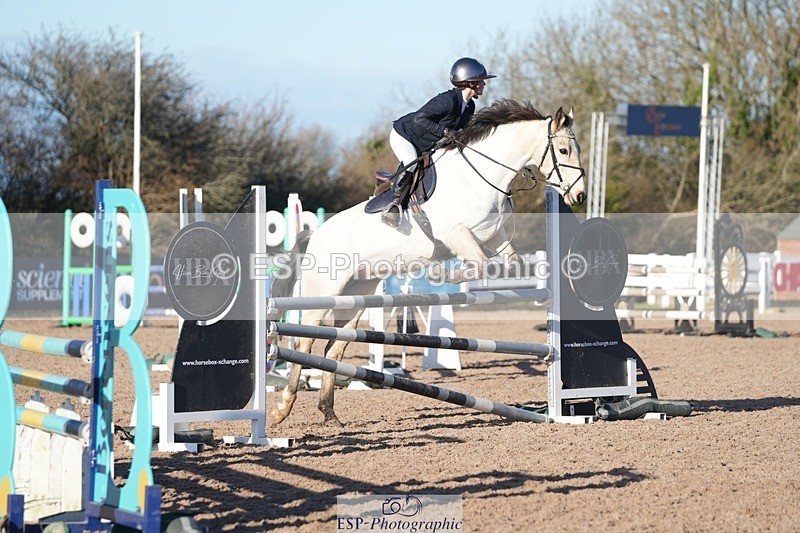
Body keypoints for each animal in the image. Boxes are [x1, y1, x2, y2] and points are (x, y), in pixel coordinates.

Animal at [270, 99, 586, 426]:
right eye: (564, 150)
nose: (579, 196)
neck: (483, 177)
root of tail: (315, 234)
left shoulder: (494, 237)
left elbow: (508, 263)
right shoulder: (458, 234)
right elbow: (482, 264)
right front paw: (439, 273)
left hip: (355, 297)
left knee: (335, 347)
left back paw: (329, 413)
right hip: (324, 292)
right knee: (304, 343)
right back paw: (283, 408)